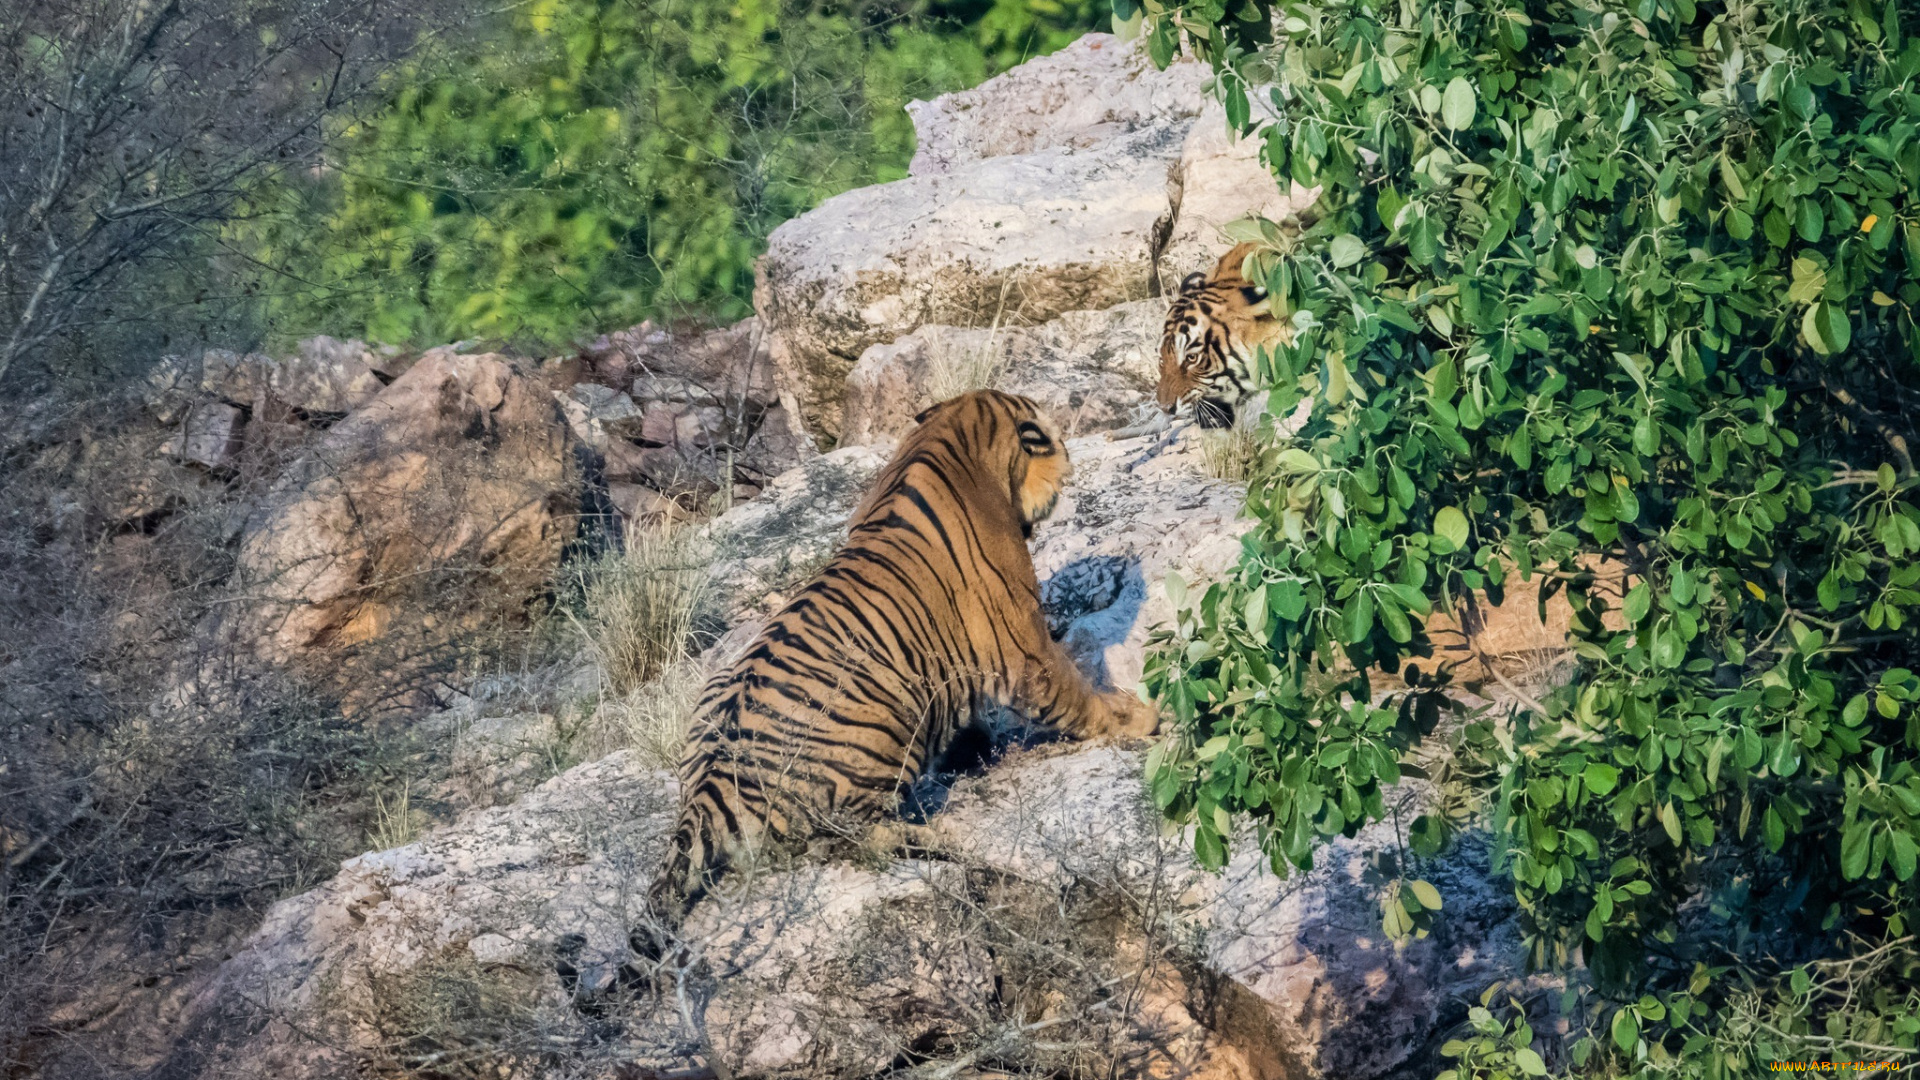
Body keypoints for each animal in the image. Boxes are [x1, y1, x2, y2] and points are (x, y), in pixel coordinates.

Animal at [641, 386, 1152, 933]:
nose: (1069, 463)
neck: (954, 432)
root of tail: (706, 791)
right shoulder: (1024, 648)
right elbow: (1078, 694)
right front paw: (1144, 718)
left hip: (716, 688)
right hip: (888, 723)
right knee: (850, 839)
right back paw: (939, 835)